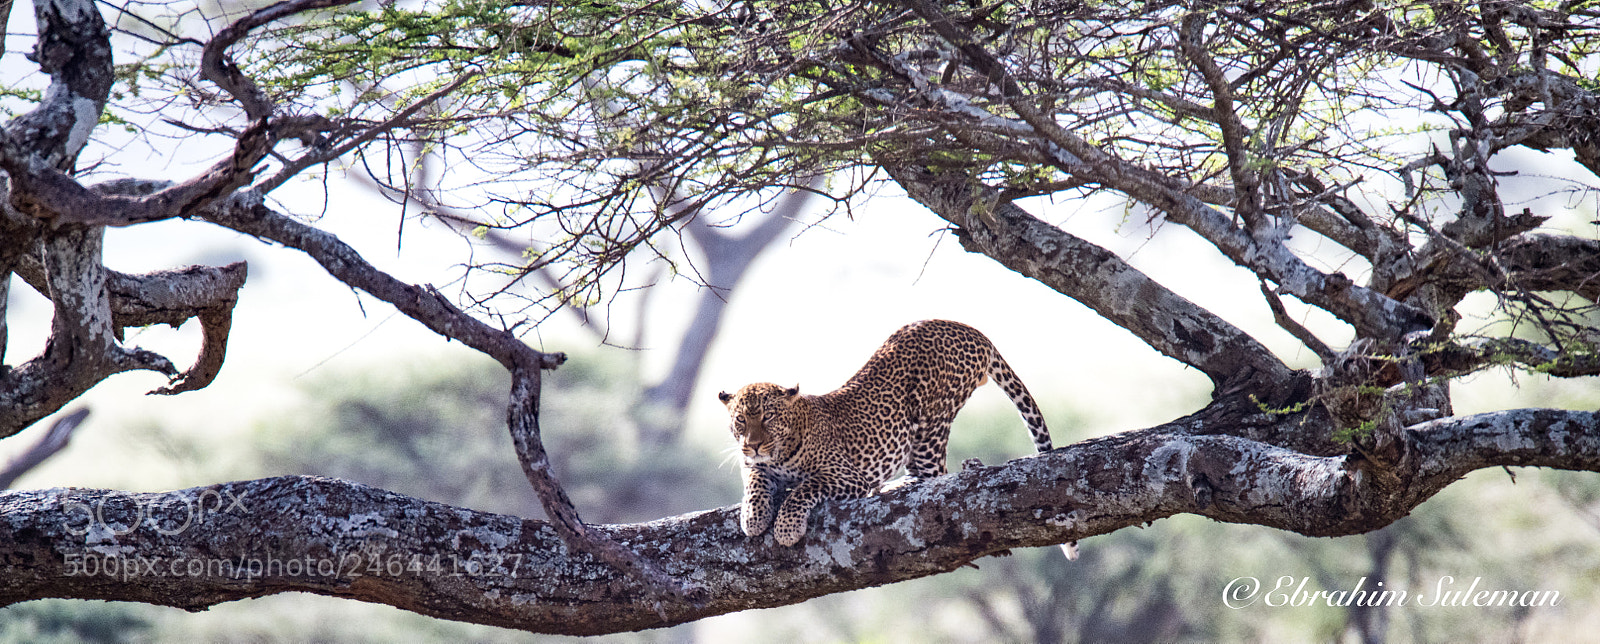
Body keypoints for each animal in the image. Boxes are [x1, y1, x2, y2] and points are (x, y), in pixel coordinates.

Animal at [718, 319, 1053, 546]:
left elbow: (804, 489)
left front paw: (786, 528)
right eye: (740, 420)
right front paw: (753, 517)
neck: (780, 451)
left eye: (768, 416)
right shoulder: (754, 465)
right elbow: (755, 482)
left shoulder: (845, 475)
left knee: (936, 478)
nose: (754, 445)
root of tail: (967, 328)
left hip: (930, 425)